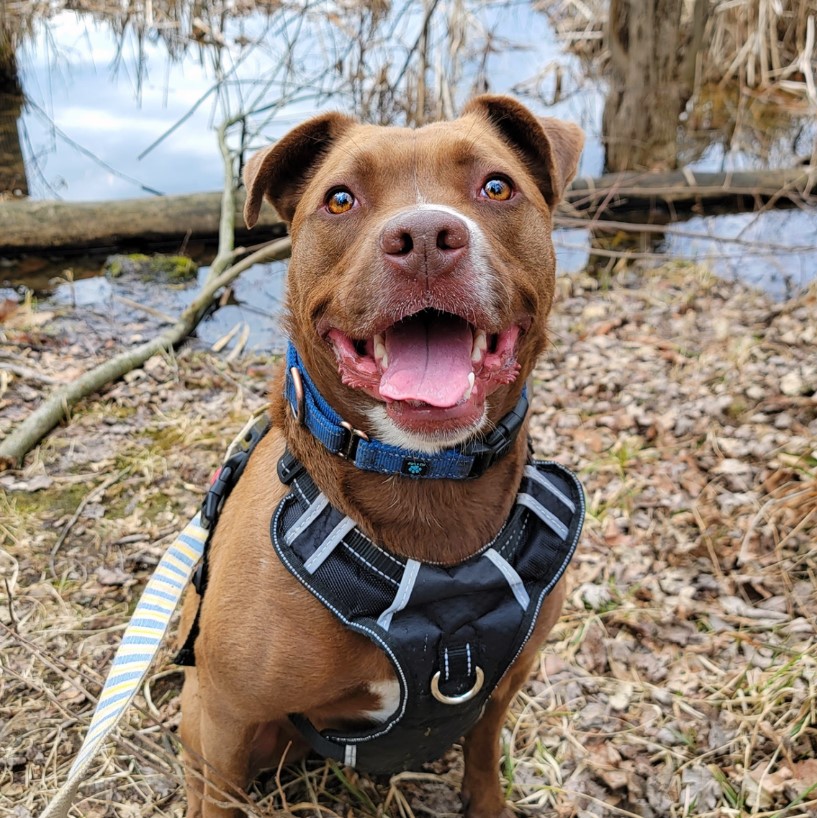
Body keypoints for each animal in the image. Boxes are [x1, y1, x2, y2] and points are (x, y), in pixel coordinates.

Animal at [179, 97, 588, 816]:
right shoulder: (226, 712)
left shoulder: (503, 688)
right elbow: (218, 799)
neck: (422, 476)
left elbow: (483, 755)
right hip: (203, 713)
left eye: (496, 187)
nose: (424, 237)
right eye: (340, 198)